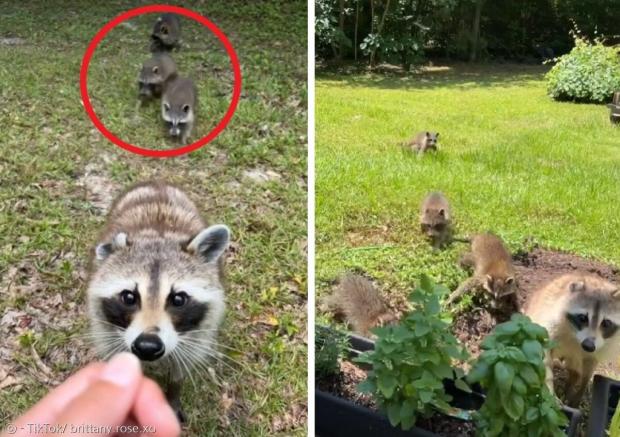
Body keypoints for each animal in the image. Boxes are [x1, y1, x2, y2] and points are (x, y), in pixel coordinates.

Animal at [86, 180, 231, 418]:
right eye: (128, 297)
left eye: (178, 299)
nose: (147, 346)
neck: (159, 236)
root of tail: (156, 183)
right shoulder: (106, 329)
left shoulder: (198, 332)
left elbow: (181, 368)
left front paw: (173, 394)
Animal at [524, 272, 620, 406]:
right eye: (583, 318)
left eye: (606, 323)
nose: (588, 345)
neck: (576, 337)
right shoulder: (550, 322)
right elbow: (545, 355)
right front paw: (550, 391)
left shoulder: (599, 348)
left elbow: (588, 370)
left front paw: (580, 391)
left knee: (576, 367)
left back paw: (571, 384)